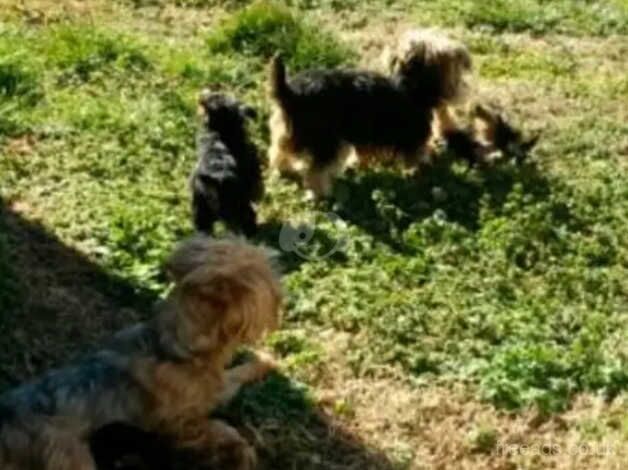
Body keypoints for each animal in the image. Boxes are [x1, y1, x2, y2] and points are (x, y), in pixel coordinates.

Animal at [268, 51, 454, 198]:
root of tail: (290, 93)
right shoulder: (410, 136)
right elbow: (416, 155)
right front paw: (416, 170)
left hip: (290, 130)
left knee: (279, 150)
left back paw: (285, 168)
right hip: (327, 140)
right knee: (317, 170)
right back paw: (322, 192)